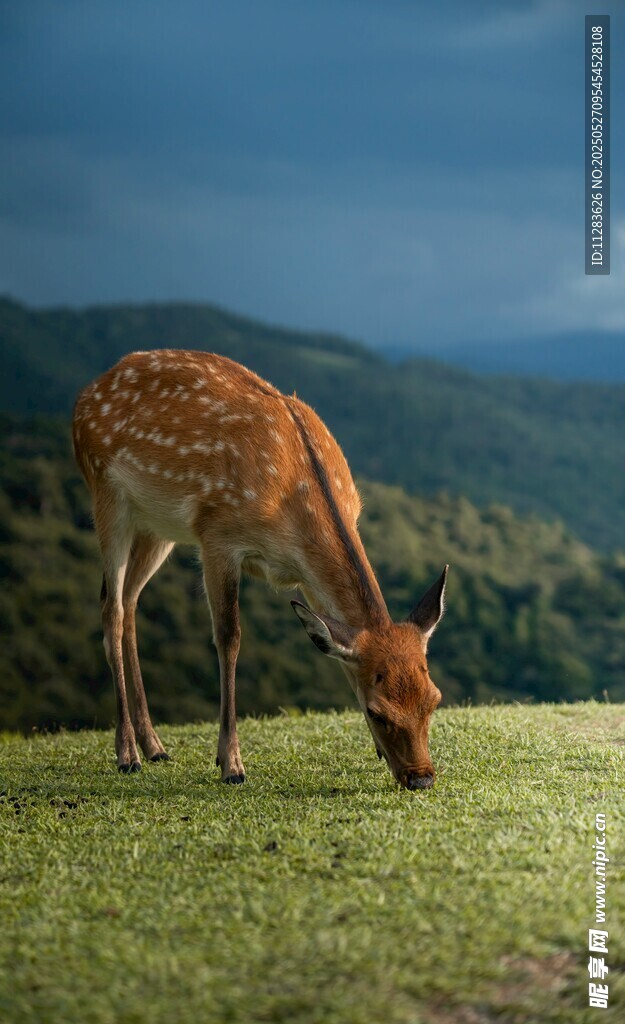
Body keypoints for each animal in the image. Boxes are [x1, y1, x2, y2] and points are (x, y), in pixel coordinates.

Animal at [72, 349, 448, 789]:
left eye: (434, 699)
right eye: (378, 712)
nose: (421, 777)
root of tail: (86, 395)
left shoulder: (305, 576)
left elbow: (336, 645)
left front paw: (374, 750)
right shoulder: (218, 536)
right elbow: (229, 638)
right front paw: (230, 763)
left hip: (158, 525)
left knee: (129, 601)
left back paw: (155, 747)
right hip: (106, 492)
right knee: (111, 608)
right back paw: (127, 753)